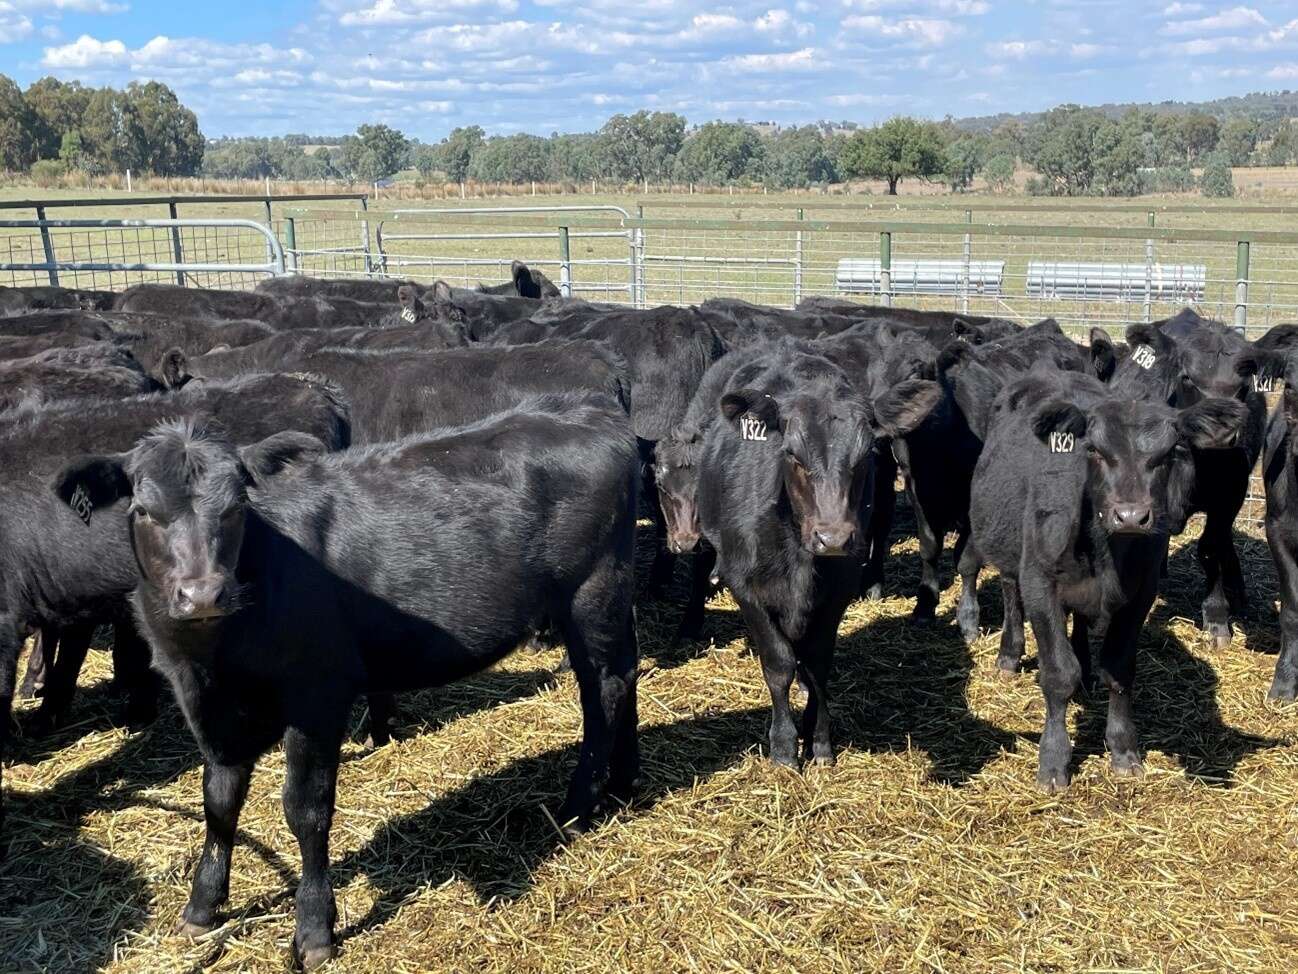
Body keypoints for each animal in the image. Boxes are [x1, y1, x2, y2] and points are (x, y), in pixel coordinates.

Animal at [53, 392, 639, 967]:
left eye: (238, 508)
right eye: (144, 511)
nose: (203, 595)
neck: (214, 657)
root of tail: (592, 413)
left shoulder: (317, 695)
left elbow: (305, 810)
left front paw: (314, 929)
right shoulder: (209, 705)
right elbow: (218, 800)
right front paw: (202, 908)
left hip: (591, 592)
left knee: (603, 691)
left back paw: (577, 808)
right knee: (626, 677)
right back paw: (624, 784)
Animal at [696, 344, 941, 766]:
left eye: (865, 455)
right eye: (793, 454)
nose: (833, 539)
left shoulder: (837, 593)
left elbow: (817, 664)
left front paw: (820, 741)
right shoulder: (747, 589)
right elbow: (778, 665)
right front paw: (783, 746)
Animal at [968, 370, 1249, 791]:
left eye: (1168, 453)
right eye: (1095, 450)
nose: (1130, 516)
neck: (1105, 551)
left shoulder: (1141, 594)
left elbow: (1118, 668)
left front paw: (1123, 749)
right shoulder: (1040, 582)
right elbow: (1058, 673)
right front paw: (1053, 760)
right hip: (1007, 550)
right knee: (1009, 593)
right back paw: (1009, 654)